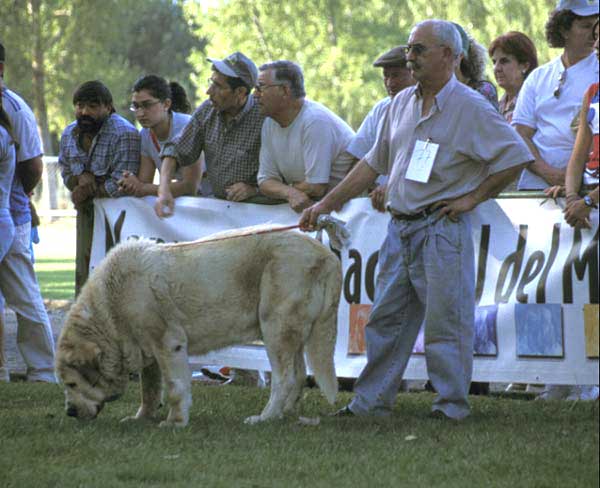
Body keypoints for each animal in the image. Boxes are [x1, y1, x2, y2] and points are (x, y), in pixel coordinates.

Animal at [57, 228, 342, 428]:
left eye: (71, 384)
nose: (69, 411)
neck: (110, 308)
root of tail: (326, 254)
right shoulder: (147, 351)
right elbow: (149, 391)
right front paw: (142, 418)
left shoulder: (168, 343)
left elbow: (174, 387)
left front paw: (174, 422)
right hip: (292, 334)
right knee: (299, 373)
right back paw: (285, 413)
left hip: (275, 329)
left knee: (286, 378)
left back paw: (265, 417)